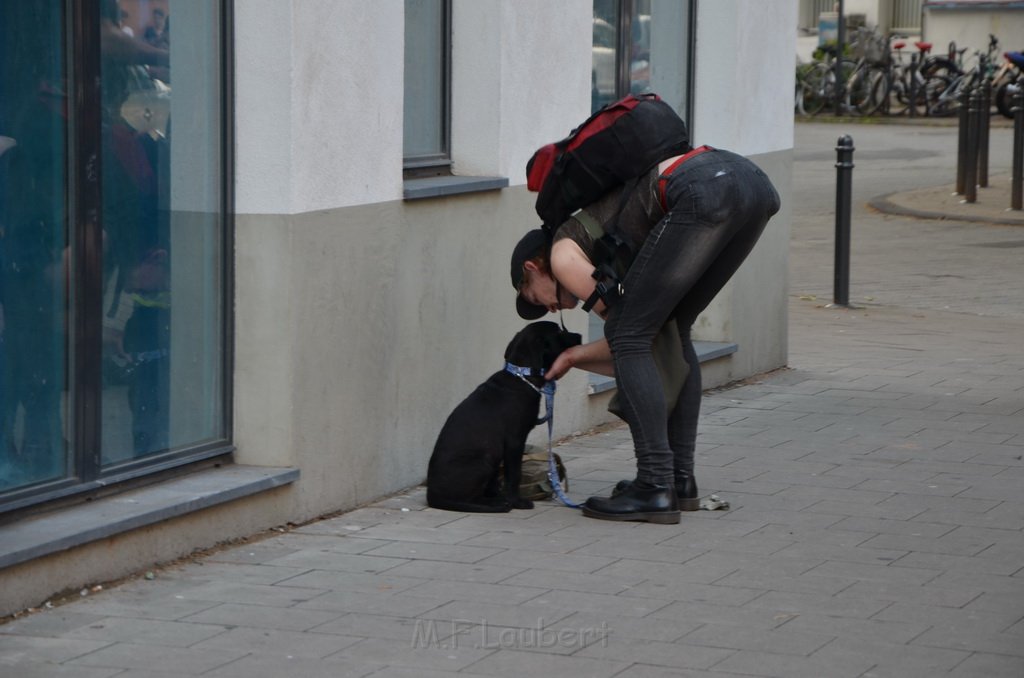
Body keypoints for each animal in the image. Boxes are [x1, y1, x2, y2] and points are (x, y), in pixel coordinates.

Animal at [428, 321, 581, 512]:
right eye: (559, 331)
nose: (580, 336)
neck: (521, 375)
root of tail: (431, 497)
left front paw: (503, 496)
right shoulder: (515, 441)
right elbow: (514, 474)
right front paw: (517, 502)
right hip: (483, 461)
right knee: (468, 498)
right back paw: (496, 504)